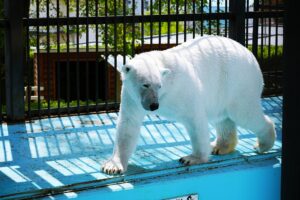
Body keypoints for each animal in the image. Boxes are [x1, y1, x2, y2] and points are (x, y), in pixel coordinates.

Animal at [101, 35, 276, 175]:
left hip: (237, 82)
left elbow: (195, 119)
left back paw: (263, 144)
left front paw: (191, 158)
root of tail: (250, 54)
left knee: (244, 113)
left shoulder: (183, 89)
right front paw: (112, 166)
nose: (154, 105)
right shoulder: (132, 98)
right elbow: (128, 125)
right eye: (145, 84)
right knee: (222, 118)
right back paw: (220, 147)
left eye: (159, 85)